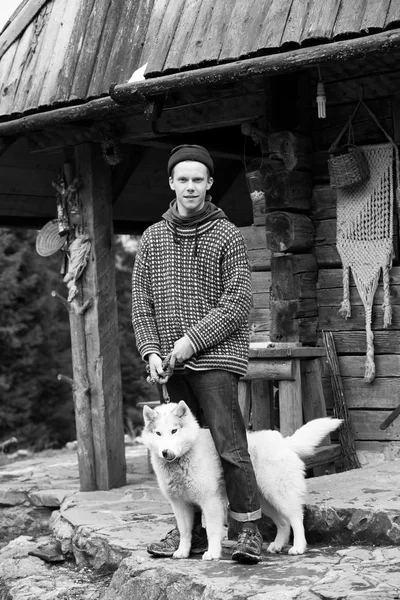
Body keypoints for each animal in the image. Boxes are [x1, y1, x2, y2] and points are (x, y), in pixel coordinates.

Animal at [142, 400, 342, 560]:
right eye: (158, 433)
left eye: (174, 431)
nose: (166, 452)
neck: (184, 457)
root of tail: (283, 441)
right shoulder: (180, 504)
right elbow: (185, 531)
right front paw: (182, 551)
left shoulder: (210, 502)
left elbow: (212, 531)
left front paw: (212, 553)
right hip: (264, 501)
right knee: (283, 523)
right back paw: (277, 545)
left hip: (280, 495)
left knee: (296, 519)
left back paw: (298, 547)